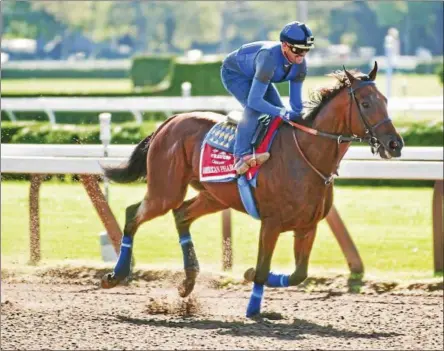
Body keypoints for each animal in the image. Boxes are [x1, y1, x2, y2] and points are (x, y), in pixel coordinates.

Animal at [102, 63, 404, 320]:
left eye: (385, 101)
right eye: (366, 103)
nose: (395, 144)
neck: (307, 156)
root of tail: (170, 120)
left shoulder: (307, 226)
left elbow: (299, 274)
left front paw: (247, 274)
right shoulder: (271, 224)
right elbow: (262, 269)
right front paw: (253, 307)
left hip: (214, 196)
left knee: (181, 215)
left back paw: (188, 282)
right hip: (166, 190)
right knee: (134, 214)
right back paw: (115, 276)